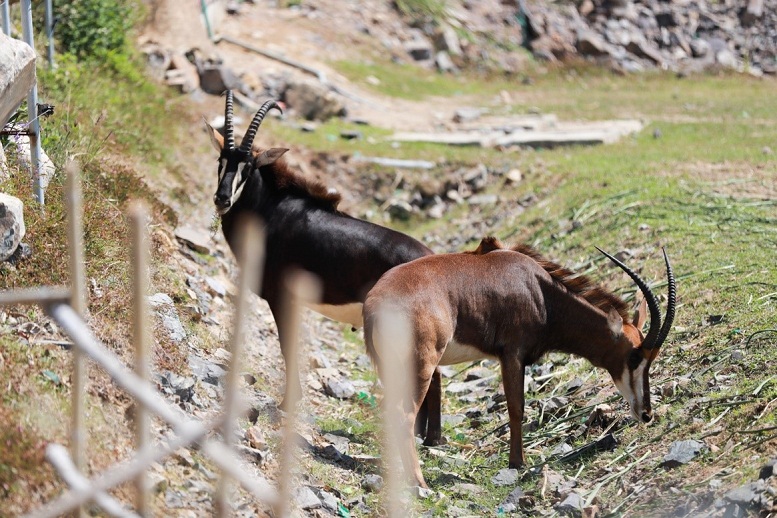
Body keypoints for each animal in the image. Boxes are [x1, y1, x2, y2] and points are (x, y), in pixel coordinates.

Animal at [206, 92, 446, 442]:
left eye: (247, 167)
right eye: (221, 160)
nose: (222, 199)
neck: (269, 209)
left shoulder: (281, 298)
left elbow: (287, 347)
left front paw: (286, 404)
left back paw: (429, 437)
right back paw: (421, 433)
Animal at [364, 238, 672, 490]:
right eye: (634, 356)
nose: (646, 414)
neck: (540, 291)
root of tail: (374, 306)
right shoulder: (512, 354)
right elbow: (516, 409)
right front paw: (517, 463)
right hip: (421, 368)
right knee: (403, 415)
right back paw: (419, 482)